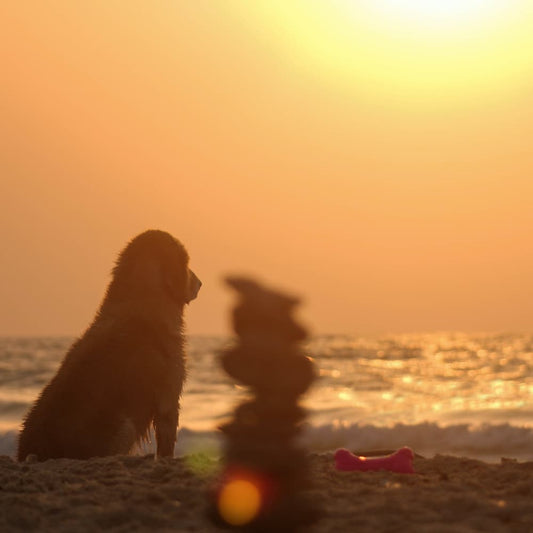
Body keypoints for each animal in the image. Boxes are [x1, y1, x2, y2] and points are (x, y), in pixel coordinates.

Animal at [18, 231, 202, 460]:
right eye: (187, 264)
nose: (200, 283)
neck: (143, 299)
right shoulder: (169, 395)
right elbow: (167, 443)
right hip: (125, 425)